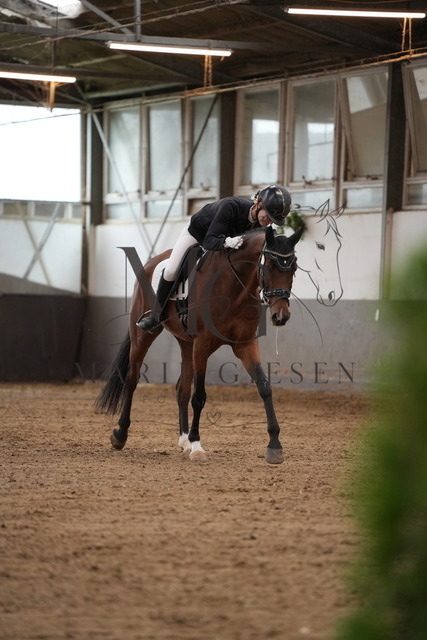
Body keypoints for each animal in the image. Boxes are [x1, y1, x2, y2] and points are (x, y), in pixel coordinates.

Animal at [95, 224, 303, 465]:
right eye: (268, 266)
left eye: (294, 268)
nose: (281, 316)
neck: (235, 285)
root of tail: (150, 262)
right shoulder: (203, 344)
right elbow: (199, 397)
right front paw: (197, 445)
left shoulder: (244, 344)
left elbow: (264, 387)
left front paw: (274, 445)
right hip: (143, 335)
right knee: (131, 380)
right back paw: (121, 434)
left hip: (187, 343)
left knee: (181, 389)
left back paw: (183, 440)